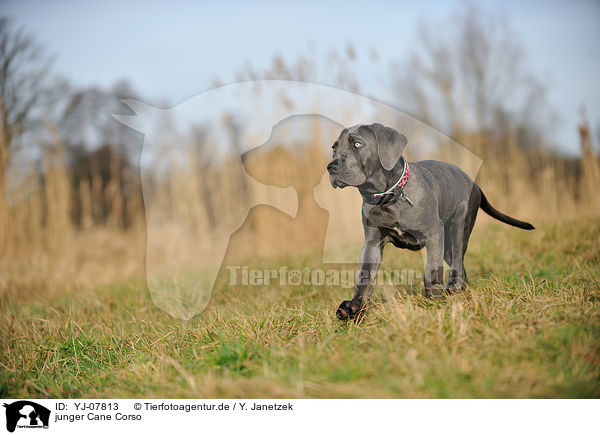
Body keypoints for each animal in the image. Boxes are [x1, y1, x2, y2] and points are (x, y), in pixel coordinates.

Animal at [328, 122, 536, 320]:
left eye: (357, 144)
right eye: (333, 148)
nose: (331, 167)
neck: (389, 197)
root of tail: (475, 183)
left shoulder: (433, 234)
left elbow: (431, 269)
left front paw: (435, 298)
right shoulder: (372, 244)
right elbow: (364, 277)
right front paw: (354, 308)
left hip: (458, 228)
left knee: (457, 261)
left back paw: (453, 288)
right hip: (447, 246)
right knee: (459, 266)